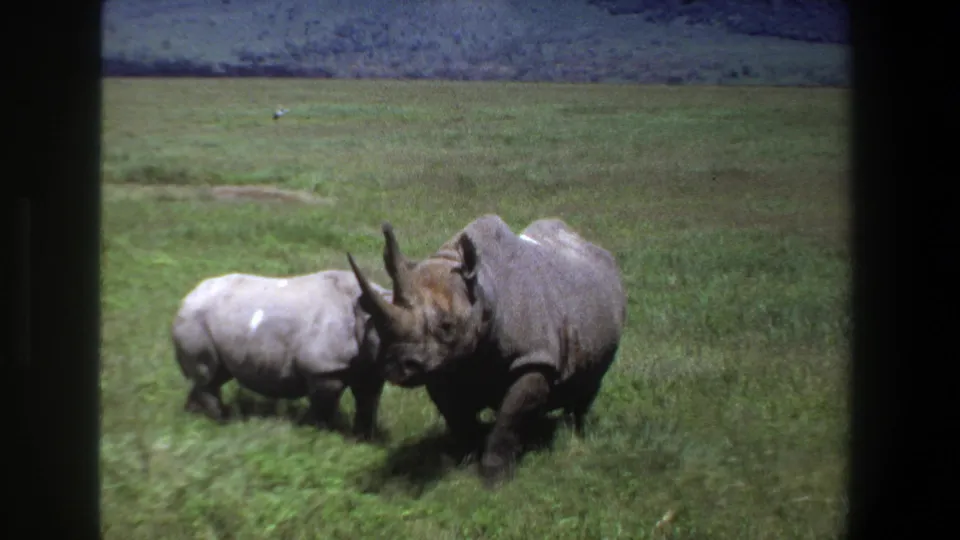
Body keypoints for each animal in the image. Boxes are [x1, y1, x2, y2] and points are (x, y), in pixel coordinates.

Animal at [171, 269, 393, 441]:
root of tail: (187, 297)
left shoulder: (369, 366)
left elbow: (368, 401)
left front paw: (363, 440)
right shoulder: (324, 369)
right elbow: (324, 409)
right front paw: (317, 436)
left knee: (216, 375)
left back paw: (195, 418)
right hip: (194, 318)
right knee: (208, 375)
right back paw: (221, 422)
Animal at [346, 215, 627, 485]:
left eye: (447, 326)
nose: (397, 367)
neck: (482, 291)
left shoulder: (533, 359)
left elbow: (509, 417)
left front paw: (494, 479)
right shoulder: (441, 364)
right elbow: (458, 417)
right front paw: (465, 463)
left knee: (590, 385)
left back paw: (575, 436)